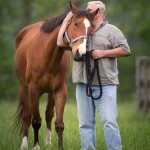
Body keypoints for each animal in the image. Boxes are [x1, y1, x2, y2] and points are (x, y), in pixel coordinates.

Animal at [14, 0, 98, 149]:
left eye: (91, 28)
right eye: (75, 23)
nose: (81, 54)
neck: (47, 55)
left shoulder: (60, 90)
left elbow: (59, 124)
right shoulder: (33, 90)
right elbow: (36, 121)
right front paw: (36, 146)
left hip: (49, 92)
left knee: (48, 114)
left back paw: (48, 143)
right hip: (24, 89)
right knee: (27, 116)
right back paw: (24, 145)